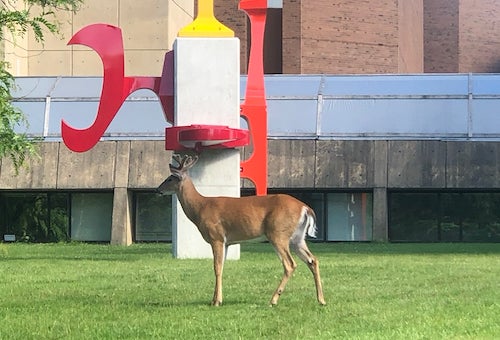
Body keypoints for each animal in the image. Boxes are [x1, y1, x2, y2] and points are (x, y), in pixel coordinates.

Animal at [157, 153, 328, 306]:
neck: (200, 208)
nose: (158, 189)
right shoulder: (226, 242)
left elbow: (216, 267)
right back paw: (321, 300)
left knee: (290, 264)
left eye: (170, 178)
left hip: (278, 233)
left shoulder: (216, 237)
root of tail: (305, 208)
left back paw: (273, 300)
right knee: (313, 260)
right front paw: (215, 299)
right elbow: (222, 267)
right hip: (297, 238)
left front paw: (216, 301)